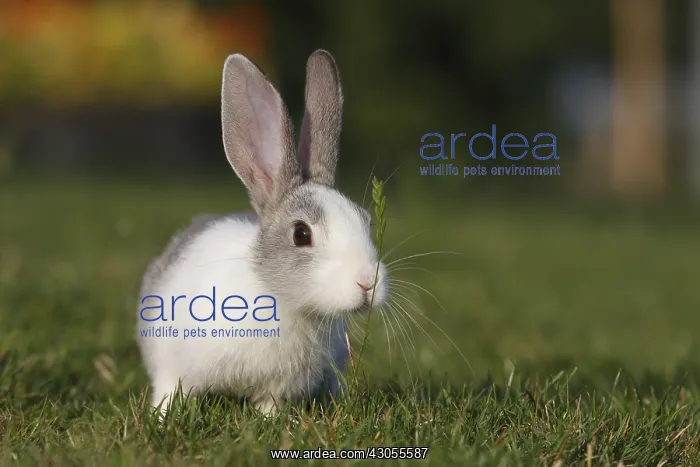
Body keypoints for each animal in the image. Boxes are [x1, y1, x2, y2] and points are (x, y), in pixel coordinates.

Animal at [136, 49, 389, 415]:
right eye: (301, 234)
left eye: (365, 220)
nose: (367, 283)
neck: (282, 300)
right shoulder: (174, 365)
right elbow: (170, 392)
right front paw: (162, 417)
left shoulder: (277, 388)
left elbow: (269, 406)